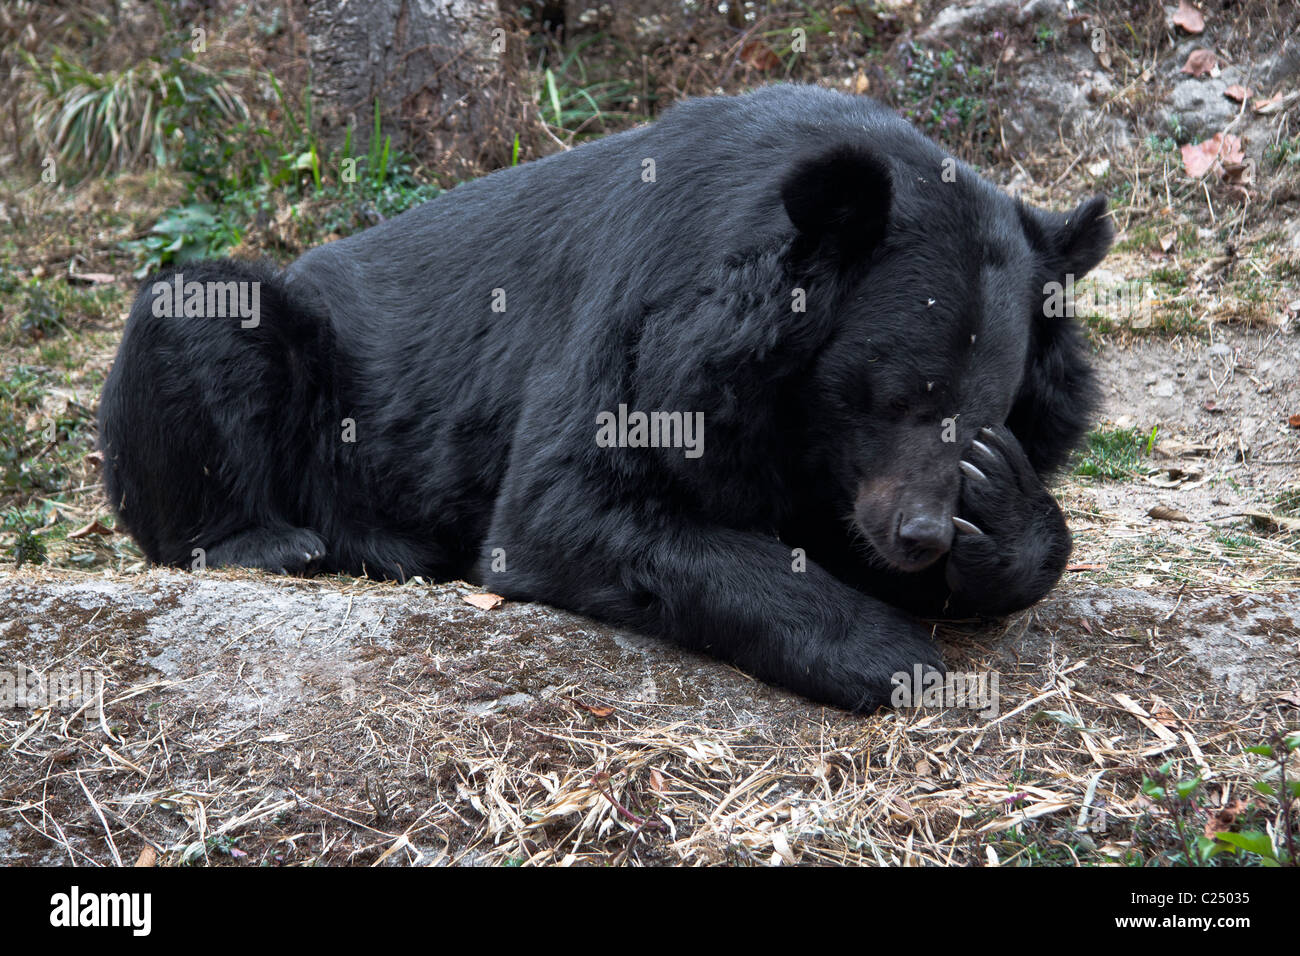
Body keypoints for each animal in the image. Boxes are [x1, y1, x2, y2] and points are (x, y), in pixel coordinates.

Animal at [101, 83, 1112, 712]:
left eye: (986, 412)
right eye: (895, 394)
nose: (920, 536)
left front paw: (996, 517)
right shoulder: (649, 305)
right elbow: (569, 503)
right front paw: (891, 654)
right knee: (202, 313)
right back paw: (283, 540)